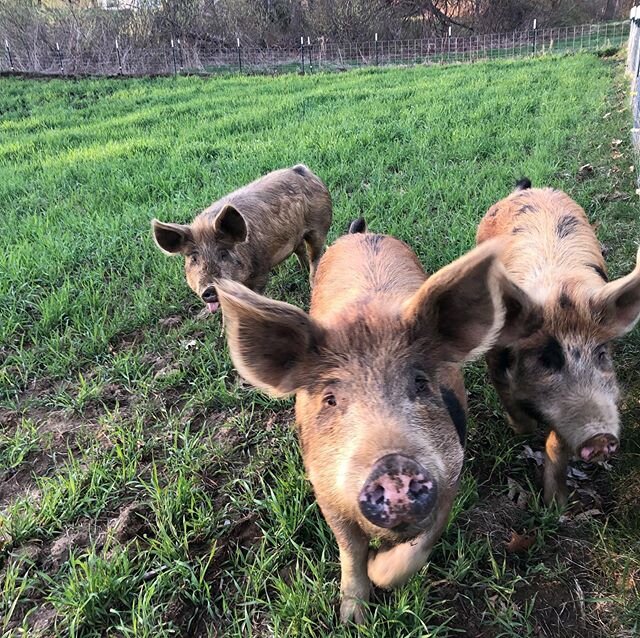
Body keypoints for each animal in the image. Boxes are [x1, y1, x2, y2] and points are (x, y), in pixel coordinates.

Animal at [150, 166, 330, 314]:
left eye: (223, 254)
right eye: (194, 258)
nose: (210, 289)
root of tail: (301, 170)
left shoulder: (260, 271)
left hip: (318, 227)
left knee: (316, 256)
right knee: (300, 249)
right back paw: (302, 270)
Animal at [212, 226, 536, 624]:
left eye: (420, 383)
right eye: (331, 399)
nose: (393, 467)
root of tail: (364, 234)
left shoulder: (450, 475)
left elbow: (420, 545)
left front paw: (380, 573)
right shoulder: (326, 492)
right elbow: (349, 551)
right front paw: (353, 618)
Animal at [478, 181, 640, 510]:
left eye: (601, 354)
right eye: (546, 359)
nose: (600, 438)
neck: (561, 292)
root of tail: (528, 189)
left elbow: (557, 443)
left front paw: (557, 506)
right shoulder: (495, 357)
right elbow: (511, 401)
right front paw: (522, 427)